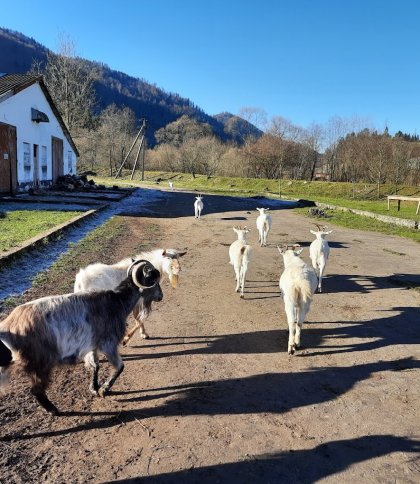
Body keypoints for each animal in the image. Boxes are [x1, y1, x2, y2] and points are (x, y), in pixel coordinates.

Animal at [0, 260, 161, 414]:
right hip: (40, 363)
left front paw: (94, 388)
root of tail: (8, 328)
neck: (116, 301)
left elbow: (95, 366)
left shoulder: (92, 345)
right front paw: (104, 389)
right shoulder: (108, 343)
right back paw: (53, 410)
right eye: (154, 280)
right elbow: (120, 366)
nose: (161, 296)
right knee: (36, 390)